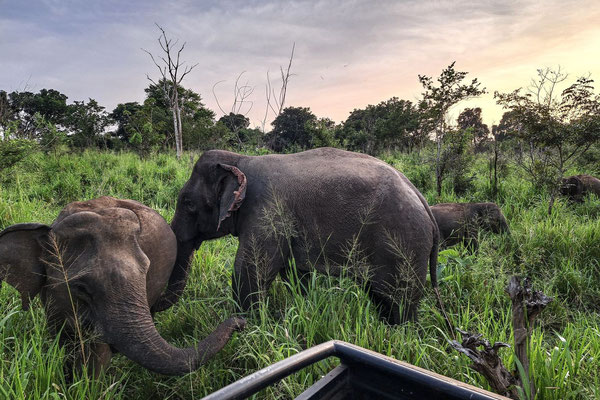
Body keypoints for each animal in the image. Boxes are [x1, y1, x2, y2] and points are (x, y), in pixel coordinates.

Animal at [155, 147, 440, 324]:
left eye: (187, 203)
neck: (240, 160)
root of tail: (421, 198)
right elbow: (293, 273)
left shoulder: (268, 212)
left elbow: (249, 270)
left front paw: (248, 327)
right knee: (381, 297)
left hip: (405, 246)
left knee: (401, 302)